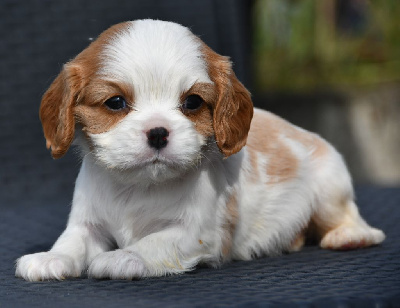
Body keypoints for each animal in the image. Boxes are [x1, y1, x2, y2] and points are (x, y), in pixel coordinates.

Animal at [14, 19, 384, 282]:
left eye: (192, 102)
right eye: (115, 102)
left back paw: (350, 236)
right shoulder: (87, 223)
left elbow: (154, 241)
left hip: (329, 187)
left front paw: (123, 256)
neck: (140, 186)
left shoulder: (197, 233)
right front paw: (51, 258)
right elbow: (73, 241)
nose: (158, 132)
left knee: (349, 217)